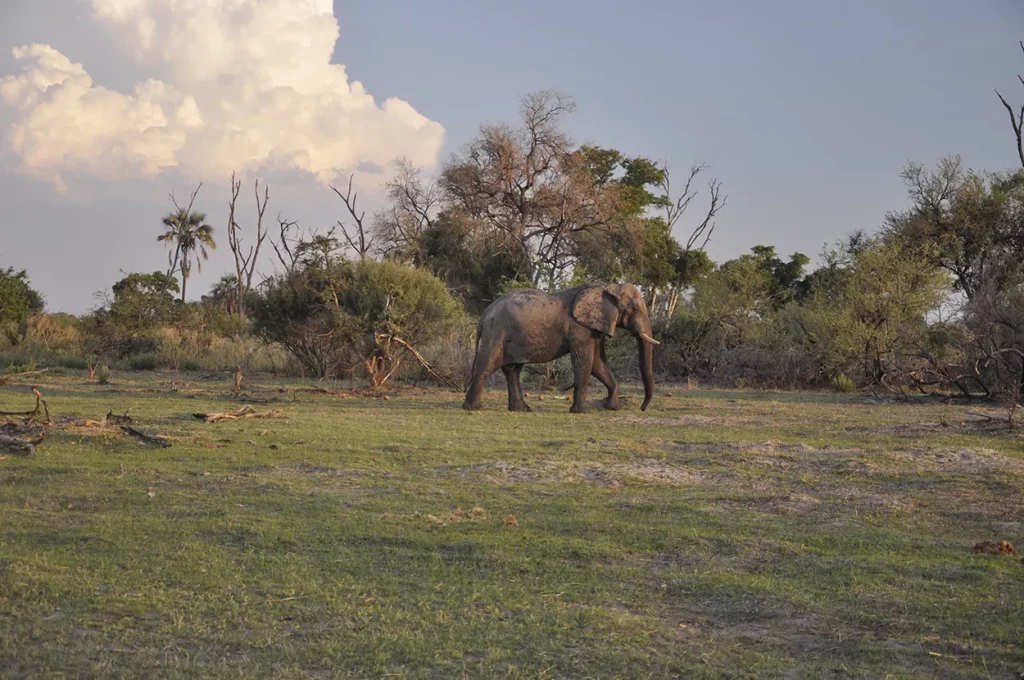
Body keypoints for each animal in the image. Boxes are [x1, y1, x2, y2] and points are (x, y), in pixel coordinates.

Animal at [462, 282, 659, 413]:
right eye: (634, 308)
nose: (642, 408)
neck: (605, 287)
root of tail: (484, 315)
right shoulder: (580, 328)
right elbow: (584, 361)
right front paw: (580, 412)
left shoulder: (595, 328)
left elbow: (597, 363)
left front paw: (612, 408)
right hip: (496, 332)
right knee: (488, 365)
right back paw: (472, 408)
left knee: (512, 370)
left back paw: (522, 409)